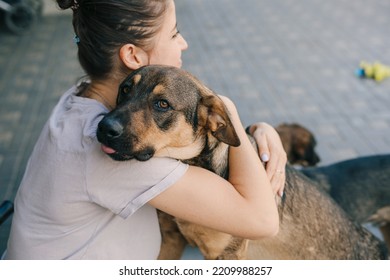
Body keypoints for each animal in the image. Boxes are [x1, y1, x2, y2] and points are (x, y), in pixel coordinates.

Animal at [96, 64, 386, 260]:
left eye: (162, 104)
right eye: (125, 90)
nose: (104, 127)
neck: (199, 169)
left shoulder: (227, 254)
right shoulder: (170, 240)